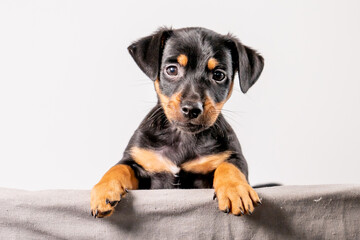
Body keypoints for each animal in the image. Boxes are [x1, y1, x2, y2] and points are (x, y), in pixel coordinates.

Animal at [90, 27, 264, 218]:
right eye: (172, 70)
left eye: (218, 75)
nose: (191, 109)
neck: (183, 136)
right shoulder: (136, 161)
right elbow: (118, 168)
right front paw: (104, 190)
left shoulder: (233, 156)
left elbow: (229, 167)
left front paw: (236, 190)